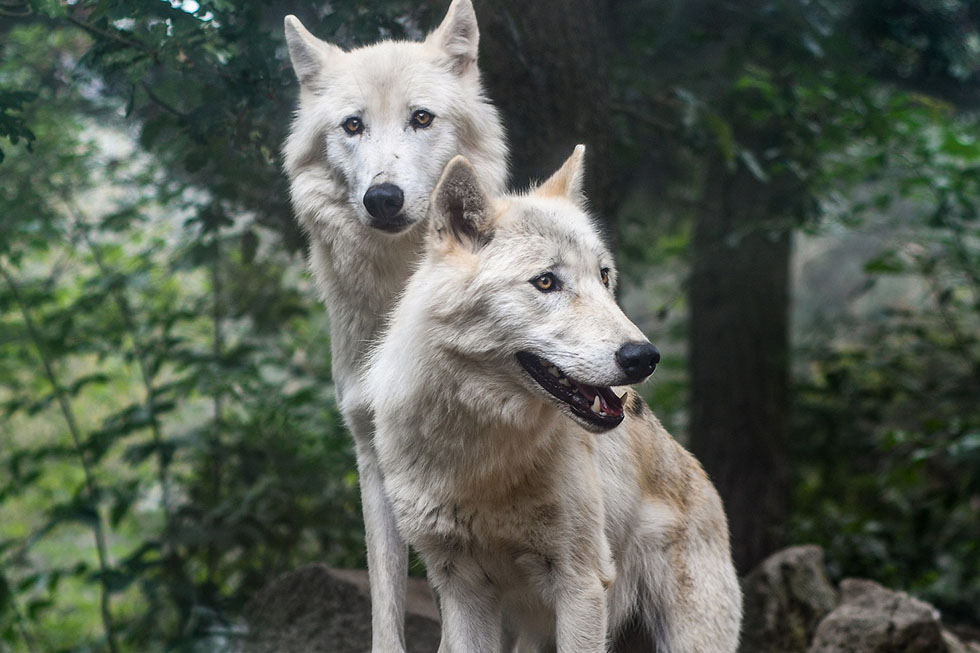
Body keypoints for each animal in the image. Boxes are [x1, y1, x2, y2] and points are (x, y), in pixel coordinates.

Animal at [368, 149, 744, 652]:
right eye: (546, 282)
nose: (644, 357)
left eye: (604, 276)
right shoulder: (461, 587)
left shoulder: (580, 583)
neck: (483, 460)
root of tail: (698, 473)